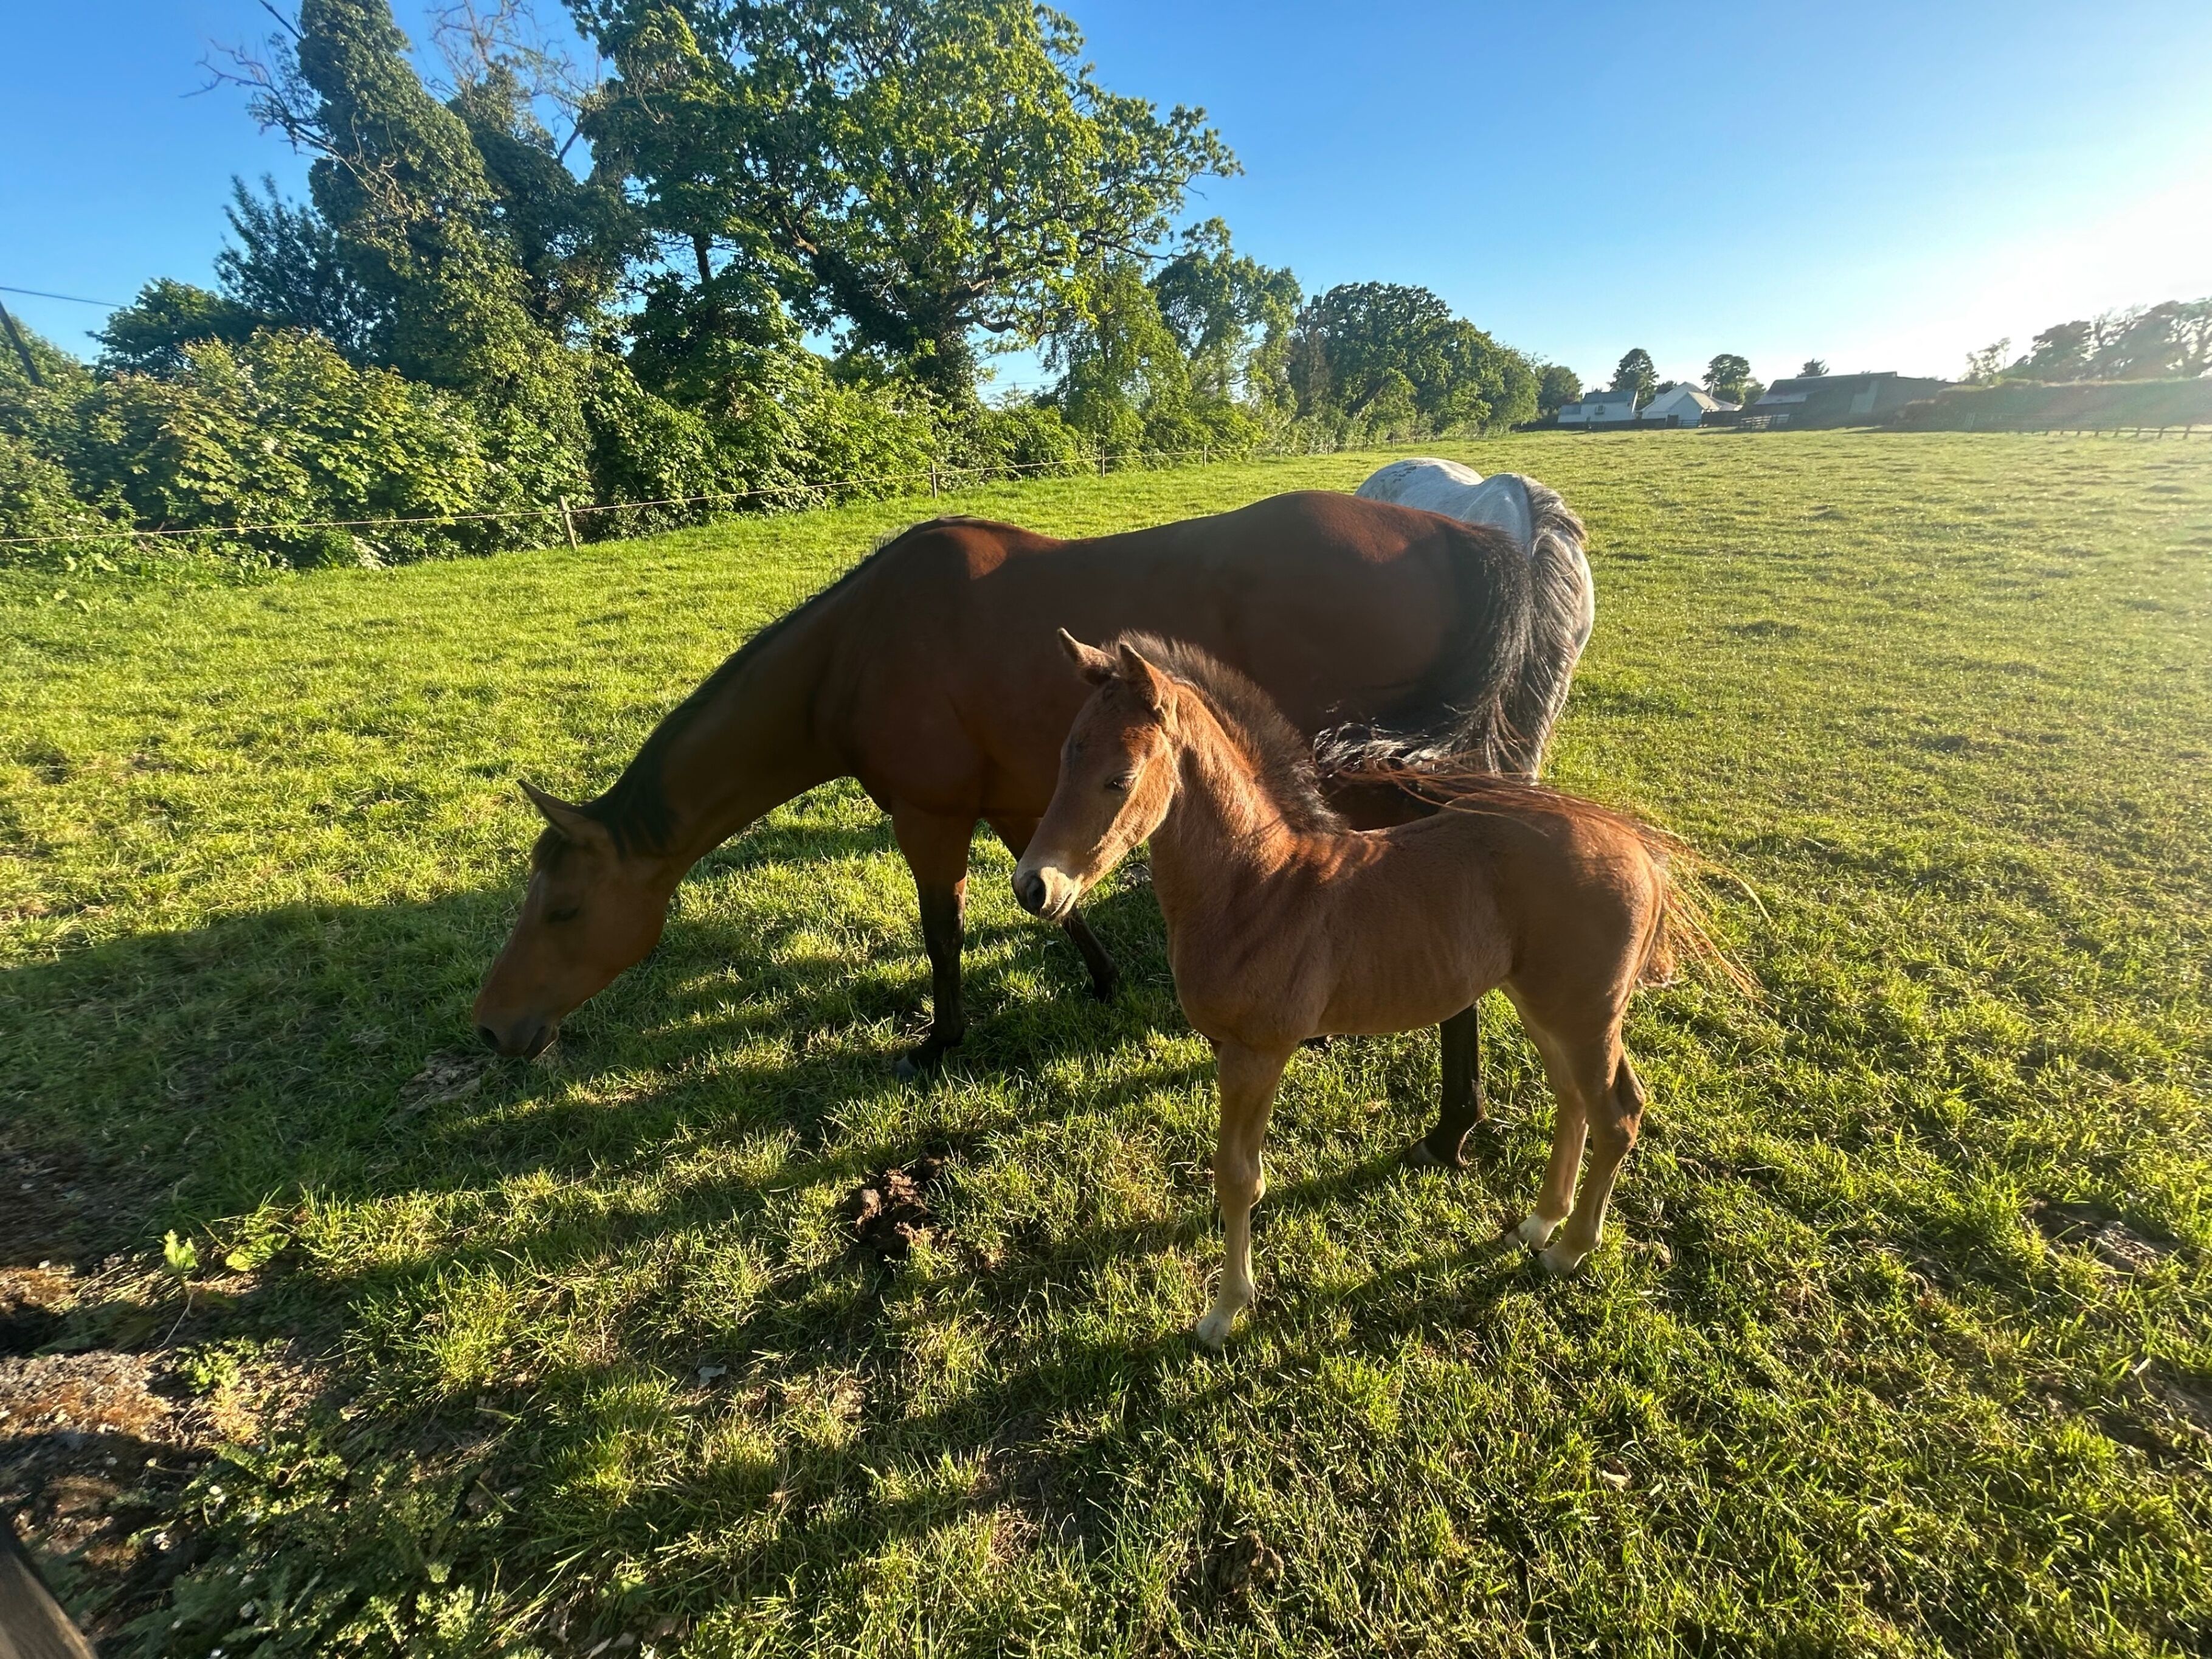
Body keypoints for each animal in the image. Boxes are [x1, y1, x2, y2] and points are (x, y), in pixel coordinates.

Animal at [471, 486, 1587, 1161]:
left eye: (563, 908)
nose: (492, 1026)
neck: (855, 647)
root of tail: (1478, 539)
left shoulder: (928, 814)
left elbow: (943, 930)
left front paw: (940, 1038)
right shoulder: (1025, 801)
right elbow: (1054, 900)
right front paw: (1100, 980)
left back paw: (1451, 1126)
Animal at [1013, 631, 1692, 1347]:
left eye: (1119, 779)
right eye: (1065, 756)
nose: (1033, 887)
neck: (1255, 887)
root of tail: (1639, 852)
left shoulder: (1258, 1053)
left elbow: (1238, 1180)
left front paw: (1224, 1312)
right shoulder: (1229, 1049)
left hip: (1587, 1014)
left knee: (1617, 1113)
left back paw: (1568, 1250)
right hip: (1545, 1006)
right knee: (1573, 1099)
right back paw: (1538, 1223)